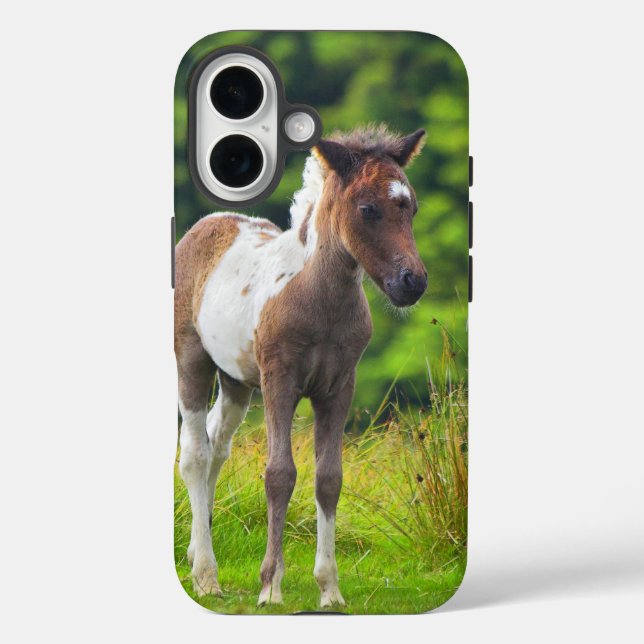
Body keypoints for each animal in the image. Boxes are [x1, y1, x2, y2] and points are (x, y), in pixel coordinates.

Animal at [174, 125, 428, 607]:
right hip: (191, 359)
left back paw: (199, 549)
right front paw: (270, 586)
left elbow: (329, 478)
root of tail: (207, 222)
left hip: (237, 380)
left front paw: (330, 590)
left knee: (217, 444)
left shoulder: (338, 387)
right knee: (195, 452)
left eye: (412, 207)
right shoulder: (281, 380)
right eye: (367, 209)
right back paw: (206, 575)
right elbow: (280, 474)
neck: (319, 299)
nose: (413, 283)